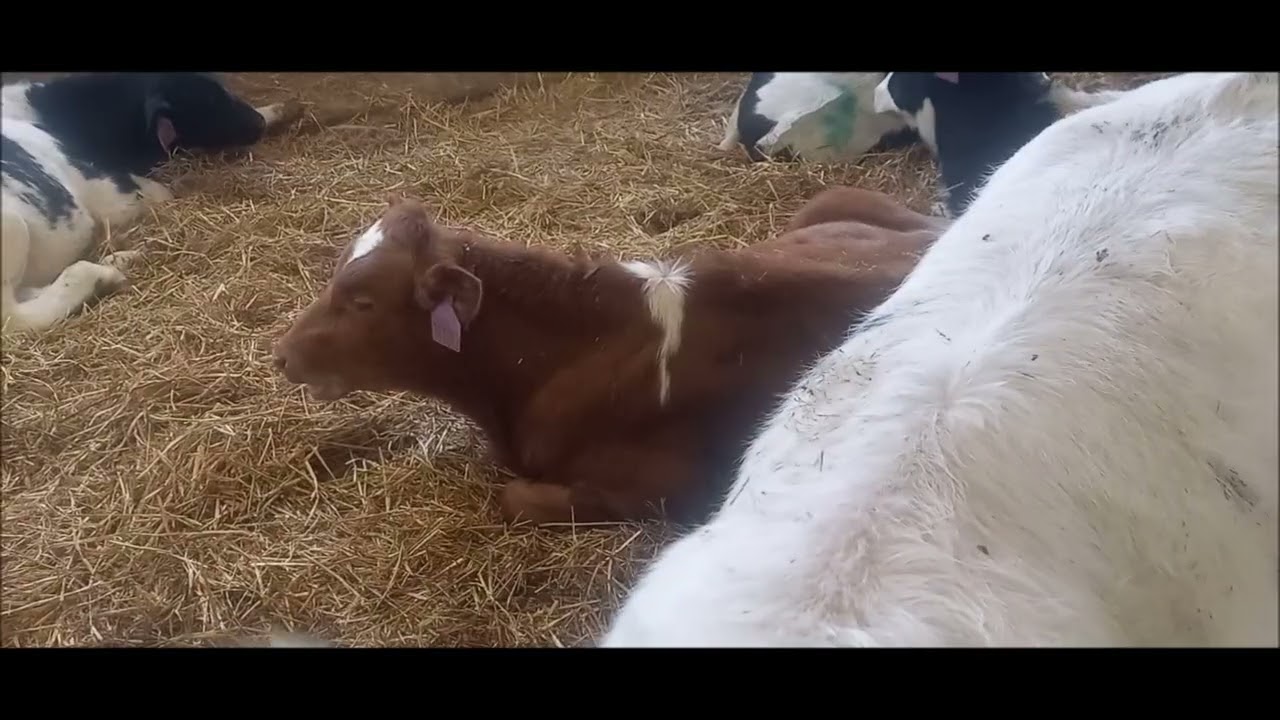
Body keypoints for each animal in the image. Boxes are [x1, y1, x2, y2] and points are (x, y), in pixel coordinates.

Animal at [2, 72, 297, 335]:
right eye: (209, 100)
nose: (258, 122)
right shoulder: (110, 188)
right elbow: (164, 194)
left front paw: (283, 109)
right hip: (12, 227)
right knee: (15, 316)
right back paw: (104, 276)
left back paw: (123, 260)